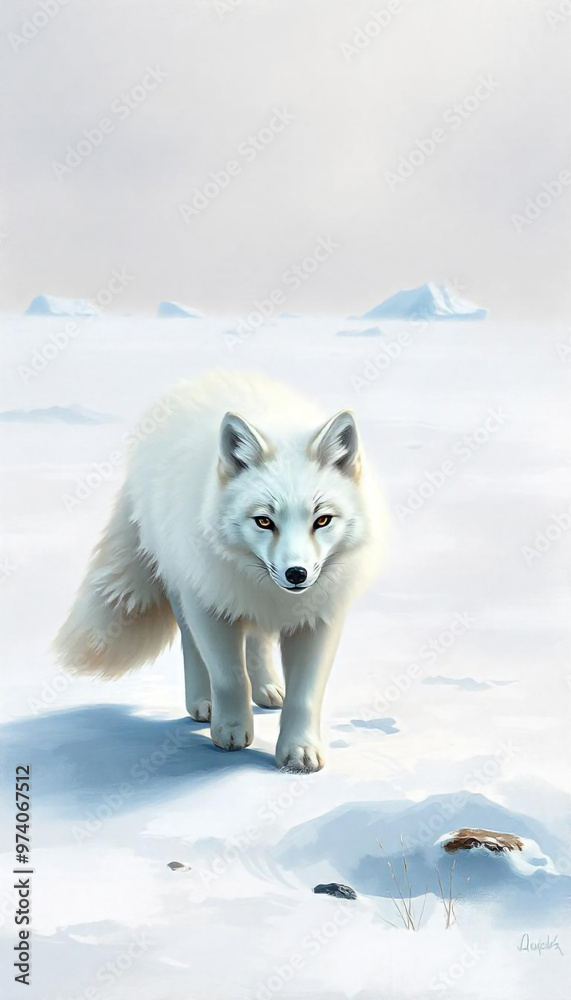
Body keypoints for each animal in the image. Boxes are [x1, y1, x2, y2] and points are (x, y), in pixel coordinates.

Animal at [55, 371, 384, 772]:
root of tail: (206, 377)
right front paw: (230, 730)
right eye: (264, 521)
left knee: (257, 640)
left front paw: (299, 750)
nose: (296, 574)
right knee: (192, 645)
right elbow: (229, 677)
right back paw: (204, 702)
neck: (274, 596)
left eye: (322, 520)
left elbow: (305, 693)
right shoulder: (208, 606)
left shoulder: (319, 619)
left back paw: (268, 688)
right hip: (184, 588)